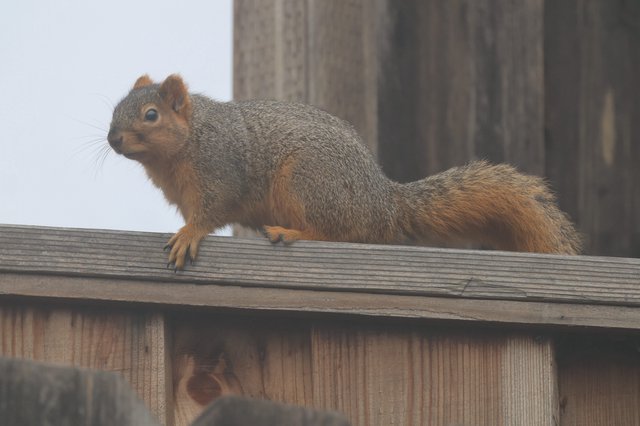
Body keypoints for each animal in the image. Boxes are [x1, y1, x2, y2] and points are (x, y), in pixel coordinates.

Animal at [107, 74, 582, 270]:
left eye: (150, 115)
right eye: (114, 109)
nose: (113, 139)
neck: (189, 141)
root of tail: (384, 203)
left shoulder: (220, 169)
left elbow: (210, 212)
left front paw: (189, 235)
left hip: (309, 182)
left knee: (337, 232)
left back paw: (291, 232)